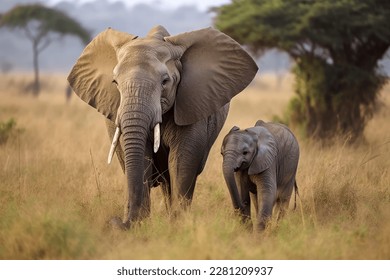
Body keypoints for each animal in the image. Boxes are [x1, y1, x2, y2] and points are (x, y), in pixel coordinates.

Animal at [68, 25, 258, 229]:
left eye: (165, 81)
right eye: (115, 82)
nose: (116, 221)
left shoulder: (191, 105)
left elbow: (181, 161)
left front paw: (177, 225)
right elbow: (142, 159)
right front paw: (142, 224)